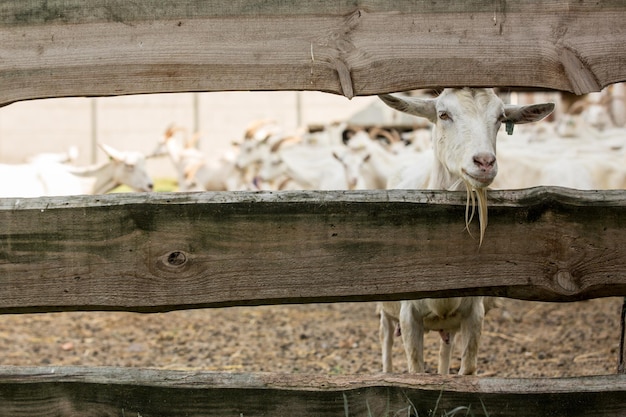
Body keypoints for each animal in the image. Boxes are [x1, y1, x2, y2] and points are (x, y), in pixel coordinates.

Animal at [376, 88, 552, 374]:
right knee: (386, 338)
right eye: (443, 114)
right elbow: (415, 370)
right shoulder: (409, 315)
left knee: (444, 351)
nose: (485, 162)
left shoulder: (474, 315)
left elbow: (467, 369)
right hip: (385, 310)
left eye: (501, 119)